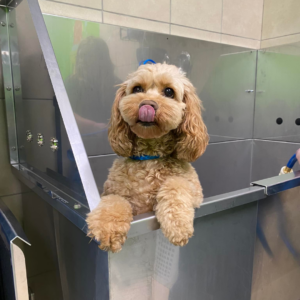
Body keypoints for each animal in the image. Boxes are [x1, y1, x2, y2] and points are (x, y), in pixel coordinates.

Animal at [86, 63, 209, 253]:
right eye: (137, 89)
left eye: (169, 91)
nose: (147, 104)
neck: (150, 156)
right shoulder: (113, 192)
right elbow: (114, 202)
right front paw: (107, 227)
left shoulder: (195, 191)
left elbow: (176, 185)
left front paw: (177, 225)